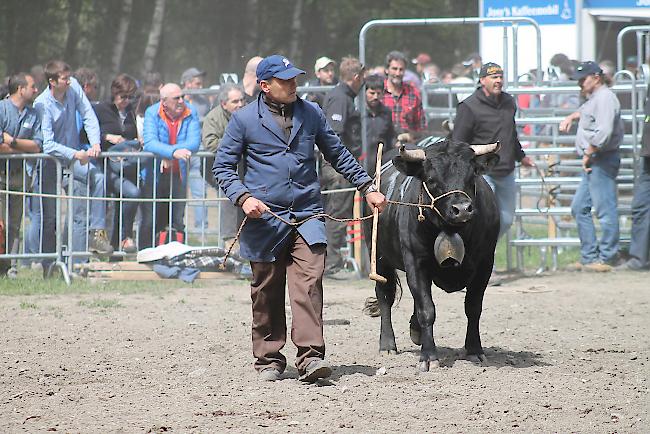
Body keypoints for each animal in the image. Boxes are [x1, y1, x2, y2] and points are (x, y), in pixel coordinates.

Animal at [362, 137, 498, 372]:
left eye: (472, 175)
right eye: (432, 179)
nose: (462, 209)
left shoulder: (485, 264)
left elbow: (473, 307)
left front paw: (474, 350)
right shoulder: (415, 263)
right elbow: (427, 309)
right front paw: (428, 356)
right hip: (378, 257)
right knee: (385, 296)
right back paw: (387, 345)